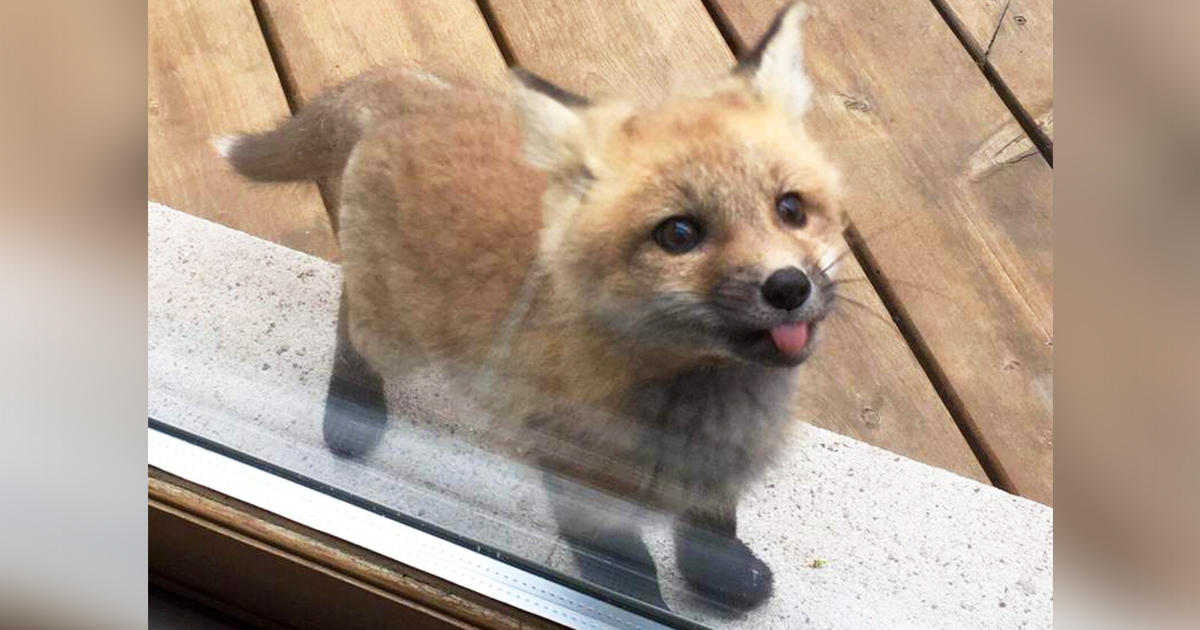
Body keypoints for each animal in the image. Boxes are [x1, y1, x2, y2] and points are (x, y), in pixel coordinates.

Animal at [220, 2, 843, 612]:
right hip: (396, 334)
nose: (788, 287)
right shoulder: (580, 486)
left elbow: (710, 529)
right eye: (680, 234)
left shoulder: (716, 475)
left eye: (790, 209)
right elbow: (629, 577)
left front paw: (721, 576)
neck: (703, 405)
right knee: (352, 324)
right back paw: (353, 409)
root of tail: (412, 92)